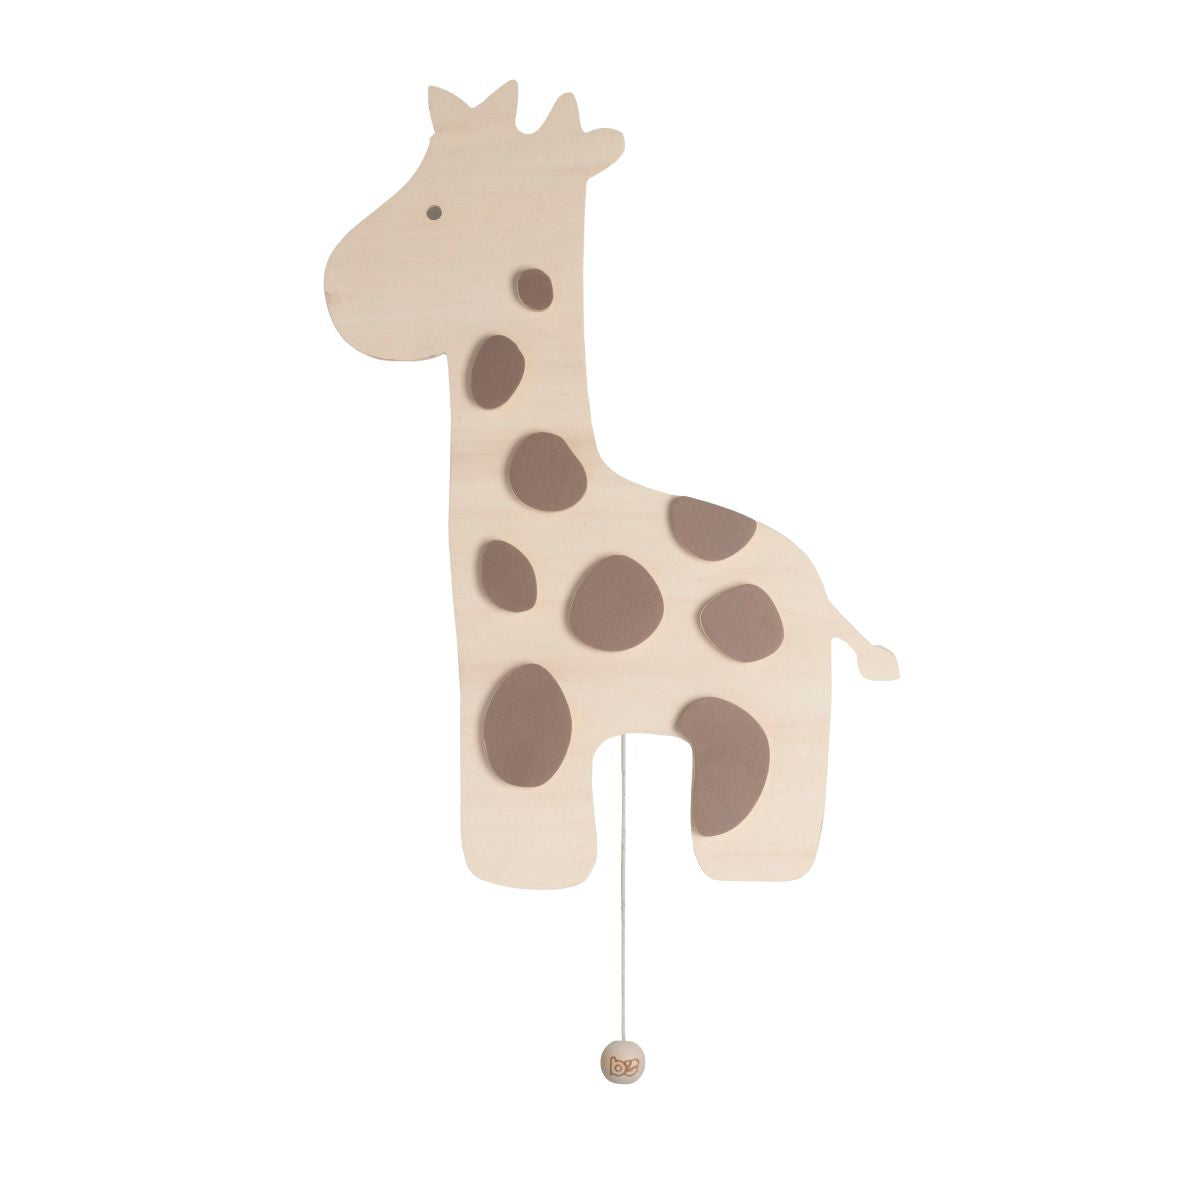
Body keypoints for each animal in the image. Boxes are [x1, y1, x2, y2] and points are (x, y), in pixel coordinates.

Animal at [324, 82, 898, 889]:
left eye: (434, 209)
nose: (334, 288)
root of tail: (824, 598)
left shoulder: (522, 681)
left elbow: (522, 789)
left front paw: (526, 870)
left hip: (770, 706)